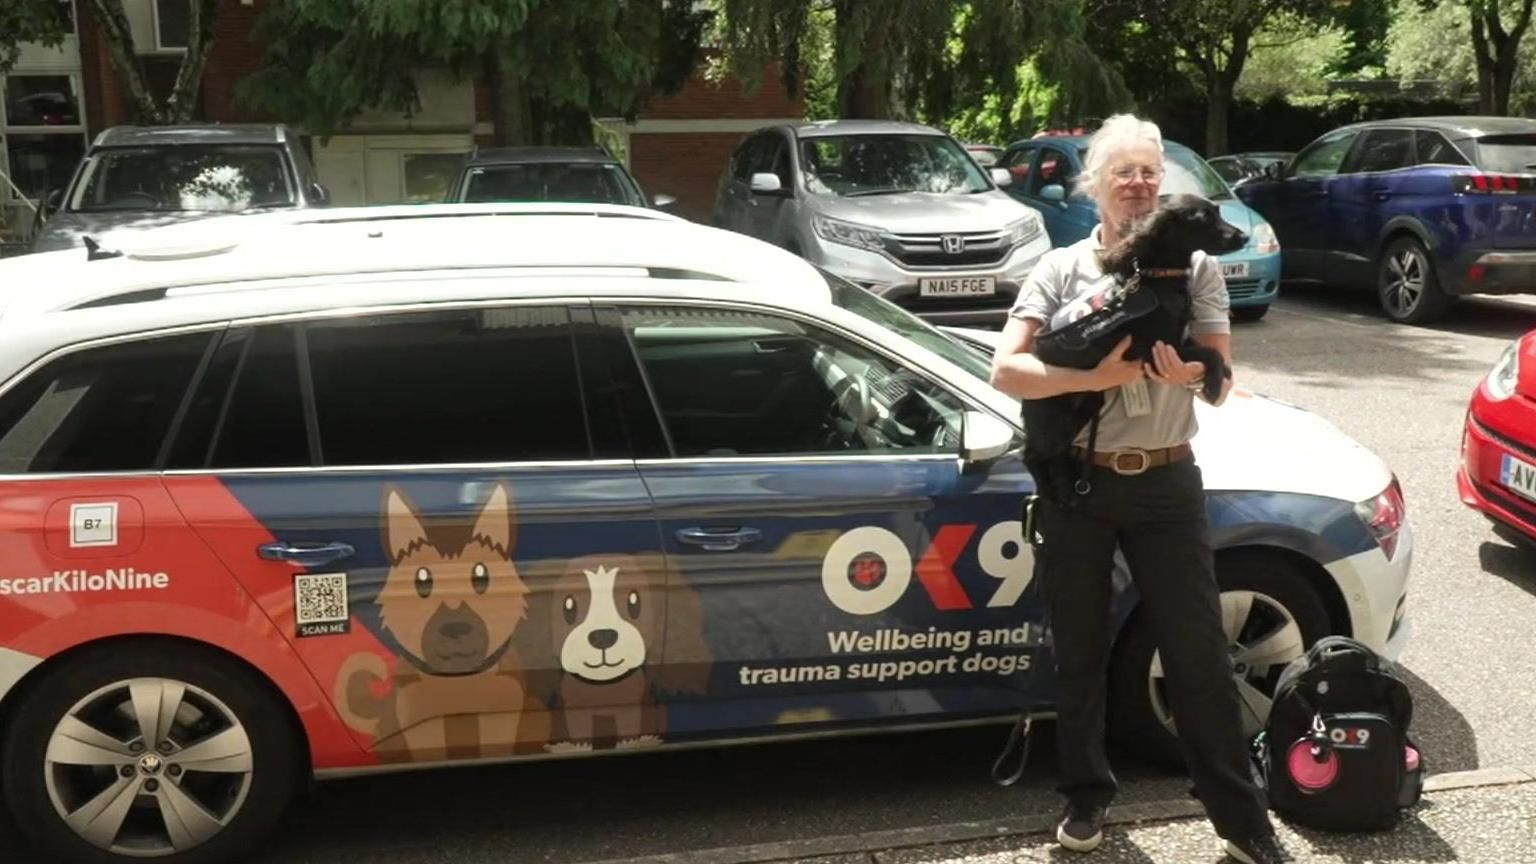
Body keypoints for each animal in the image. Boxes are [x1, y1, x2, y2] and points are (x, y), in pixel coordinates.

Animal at [1019, 191, 1247, 495]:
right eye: (1204, 219)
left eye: (1218, 212)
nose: (1244, 237)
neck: (1157, 277)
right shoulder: (1155, 350)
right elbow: (1209, 351)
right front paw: (1212, 385)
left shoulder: (1177, 337)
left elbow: (1206, 347)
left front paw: (1223, 374)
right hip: (1054, 420)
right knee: (1031, 454)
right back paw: (1048, 491)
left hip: (1084, 409)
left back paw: (1065, 489)